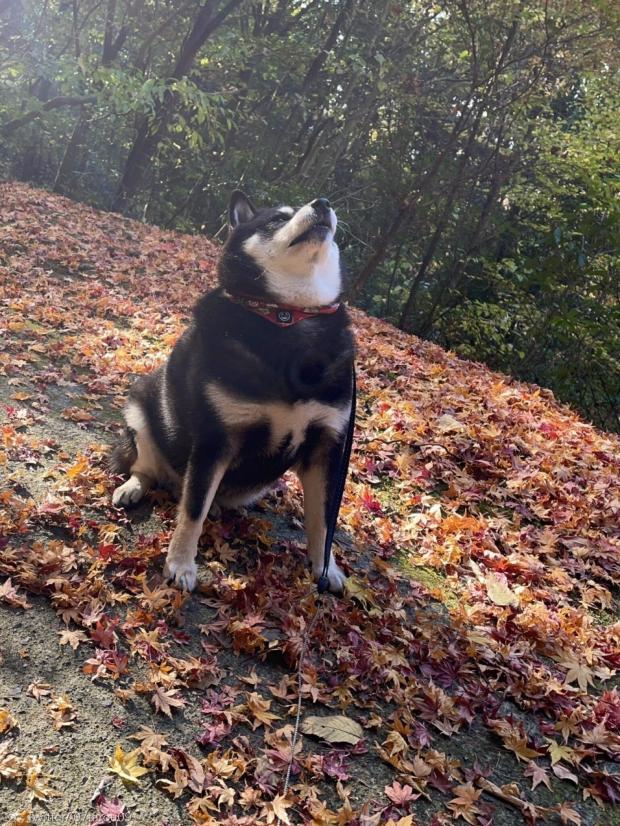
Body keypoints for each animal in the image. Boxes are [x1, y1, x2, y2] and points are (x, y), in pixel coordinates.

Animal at [110, 192, 354, 592]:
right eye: (277, 218)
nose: (323, 202)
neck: (287, 315)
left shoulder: (327, 446)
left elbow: (322, 520)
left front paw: (324, 568)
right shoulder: (215, 440)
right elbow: (192, 510)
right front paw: (180, 564)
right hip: (141, 410)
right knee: (146, 468)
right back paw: (133, 486)